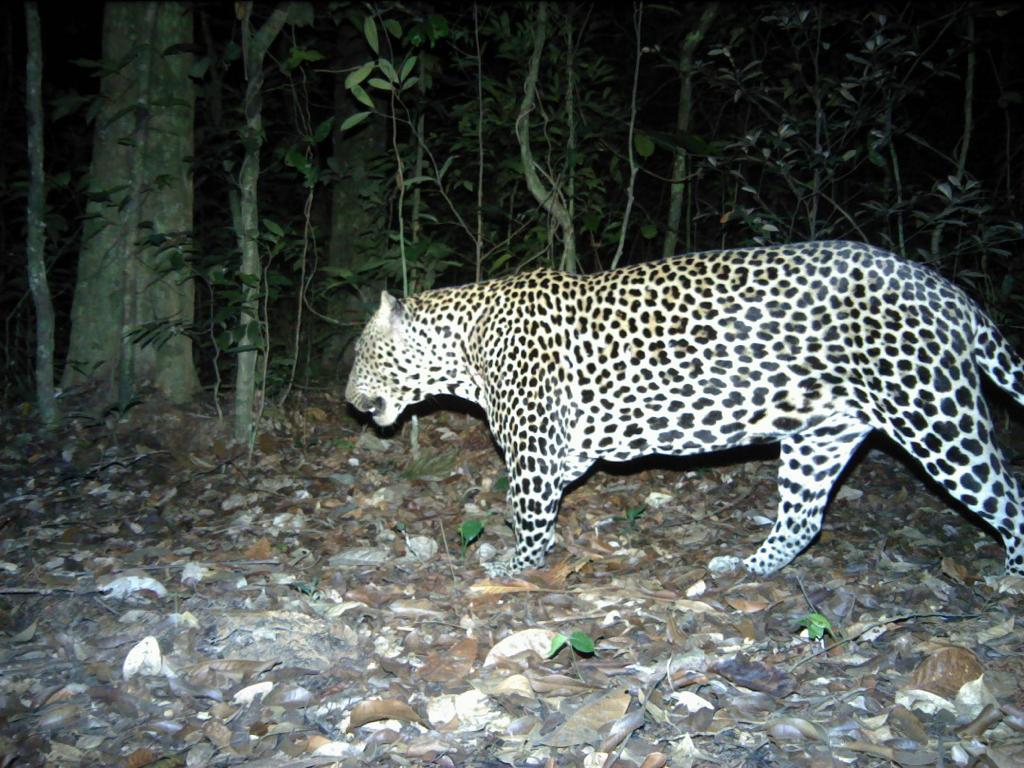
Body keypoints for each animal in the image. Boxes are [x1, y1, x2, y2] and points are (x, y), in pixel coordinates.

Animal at [346, 240, 1024, 577]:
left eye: (362, 353)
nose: (347, 399)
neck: (463, 348)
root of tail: (948, 290)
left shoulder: (535, 454)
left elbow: (529, 515)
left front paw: (514, 566)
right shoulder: (562, 452)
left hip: (933, 413)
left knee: (1009, 497)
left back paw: (1010, 578)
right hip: (821, 435)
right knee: (803, 519)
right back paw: (746, 567)